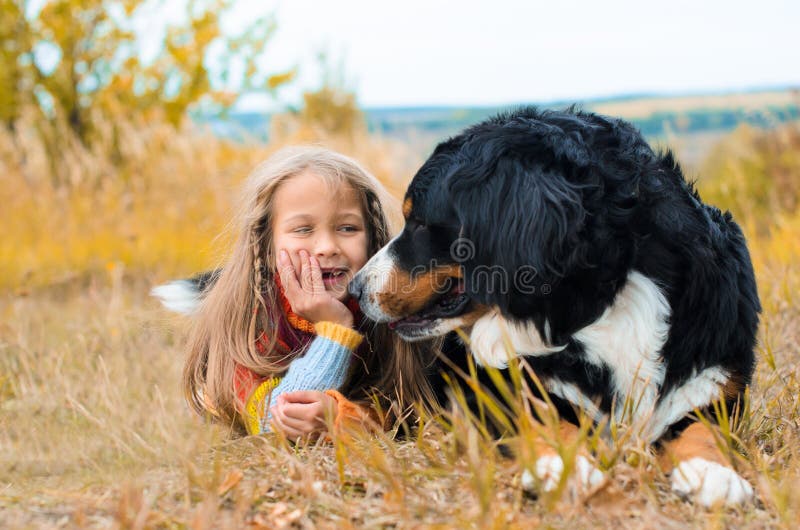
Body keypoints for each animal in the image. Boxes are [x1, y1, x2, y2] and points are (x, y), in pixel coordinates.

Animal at [352, 106, 764, 504]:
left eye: (419, 222)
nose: (355, 288)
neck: (599, 307)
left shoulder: (712, 380)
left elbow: (701, 430)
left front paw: (714, 474)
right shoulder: (497, 387)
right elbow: (543, 421)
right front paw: (566, 467)